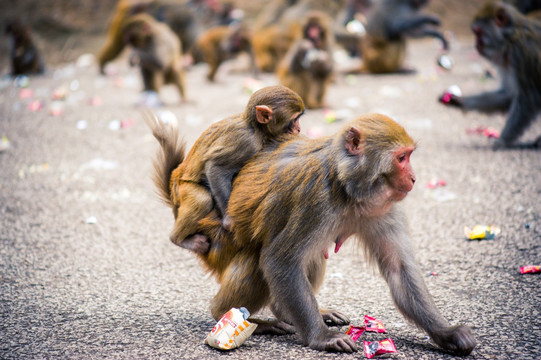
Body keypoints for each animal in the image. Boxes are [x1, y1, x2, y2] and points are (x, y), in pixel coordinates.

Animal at [146, 85, 304, 253]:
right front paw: (229, 221)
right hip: (181, 189)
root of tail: (173, 180)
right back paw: (178, 239)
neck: (255, 128)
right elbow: (215, 168)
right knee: (202, 199)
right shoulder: (247, 143)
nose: (298, 129)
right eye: (294, 120)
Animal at [438, 0, 540, 148]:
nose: (476, 45)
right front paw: (460, 101)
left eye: (478, 32)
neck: (511, 38)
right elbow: (509, 95)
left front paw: (502, 140)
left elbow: (529, 99)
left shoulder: (521, 55)